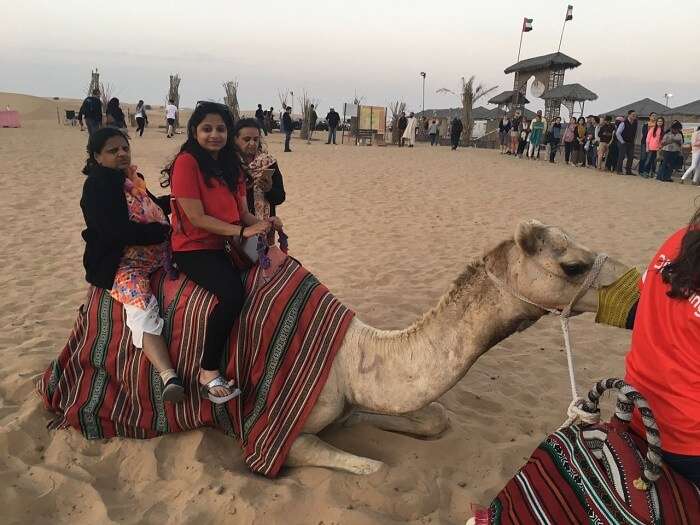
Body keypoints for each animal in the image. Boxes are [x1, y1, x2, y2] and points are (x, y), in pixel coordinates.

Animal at [286, 219, 628, 472]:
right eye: (573, 266)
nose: (634, 290)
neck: (352, 363)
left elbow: (436, 415)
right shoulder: (287, 436)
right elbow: (376, 467)